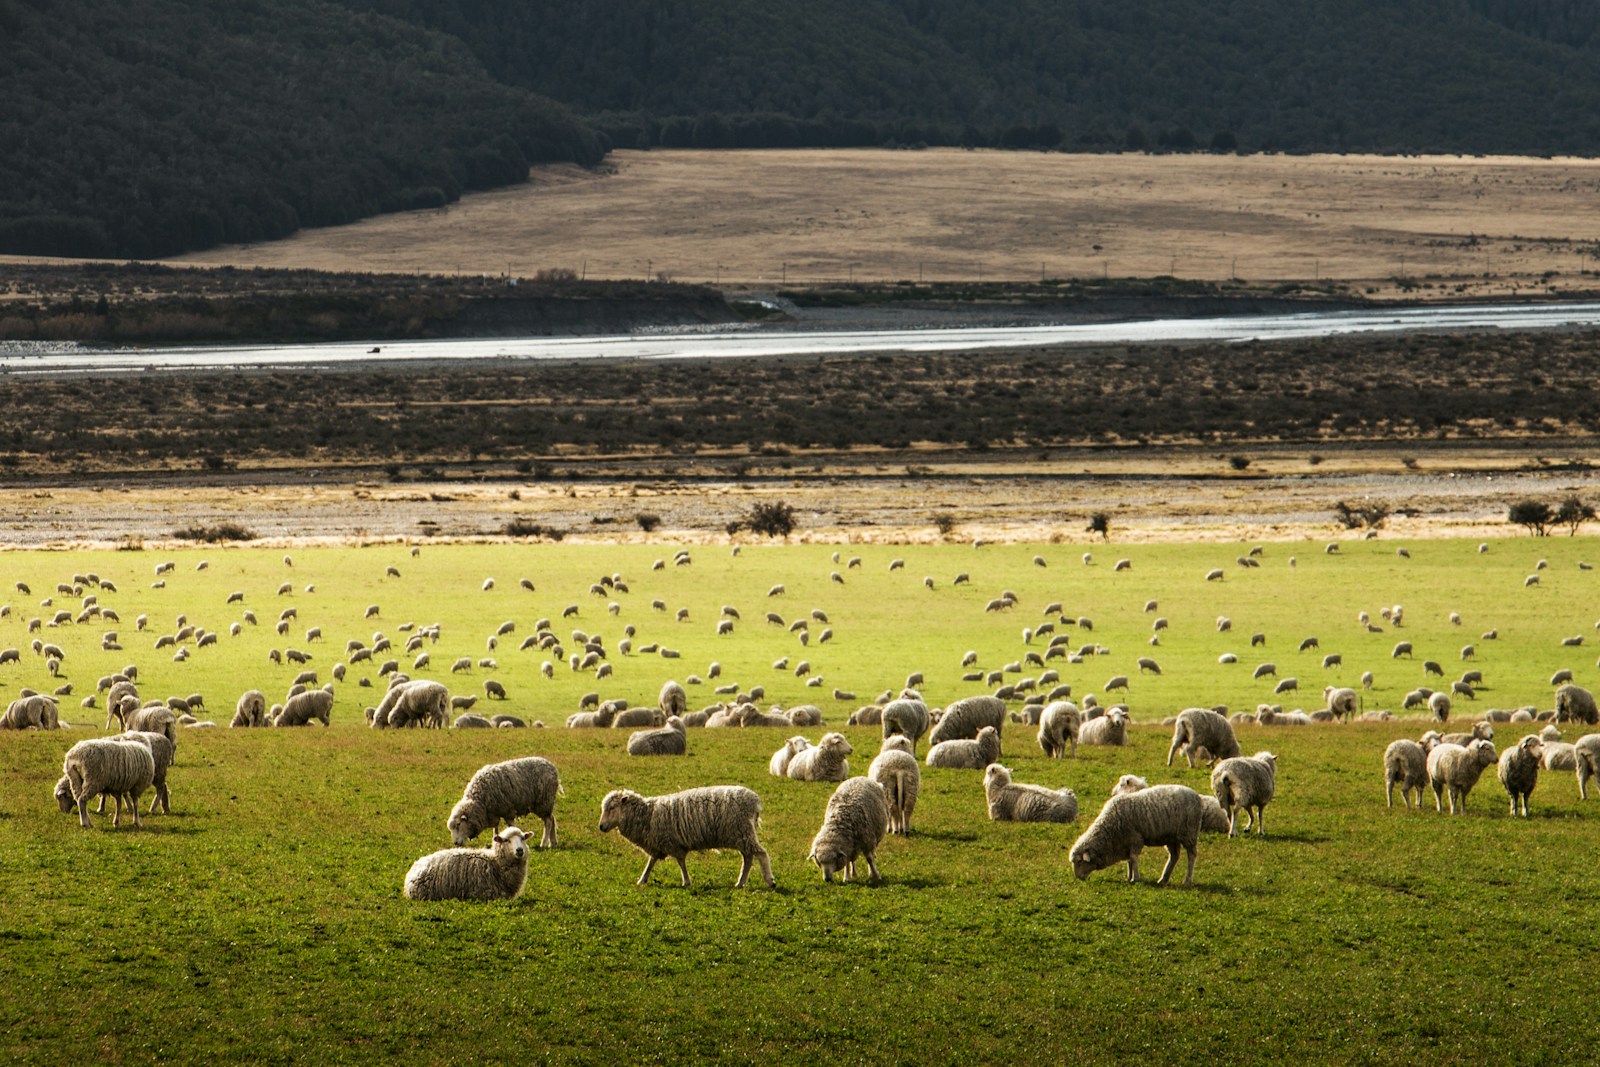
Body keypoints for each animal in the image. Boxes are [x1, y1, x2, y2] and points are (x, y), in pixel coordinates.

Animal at [601, 783, 774, 895]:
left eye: (611, 808)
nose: (601, 826)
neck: (647, 815)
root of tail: (754, 801)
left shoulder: (672, 843)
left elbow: (680, 862)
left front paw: (686, 882)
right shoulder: (657, 845)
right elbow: (651, 862)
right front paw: (642, 879)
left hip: (742, 831)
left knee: (761, 853)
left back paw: (770, 880)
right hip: (742, 835)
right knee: (748, 858)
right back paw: (740, 883)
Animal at [1068, 780, 1203, 889]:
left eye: (1079, 862)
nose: (1078, 878)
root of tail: (1196, 796)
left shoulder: (1135, 839)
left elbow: (1133, 858)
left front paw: (1136, 878)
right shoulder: (1126, 841)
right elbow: (1129, 860)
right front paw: (1129, 876)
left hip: (1189, 833)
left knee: (1192, 855)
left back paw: (1187, 880)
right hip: (1171, 837)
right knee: (1174, 856)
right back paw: (1163, 879)